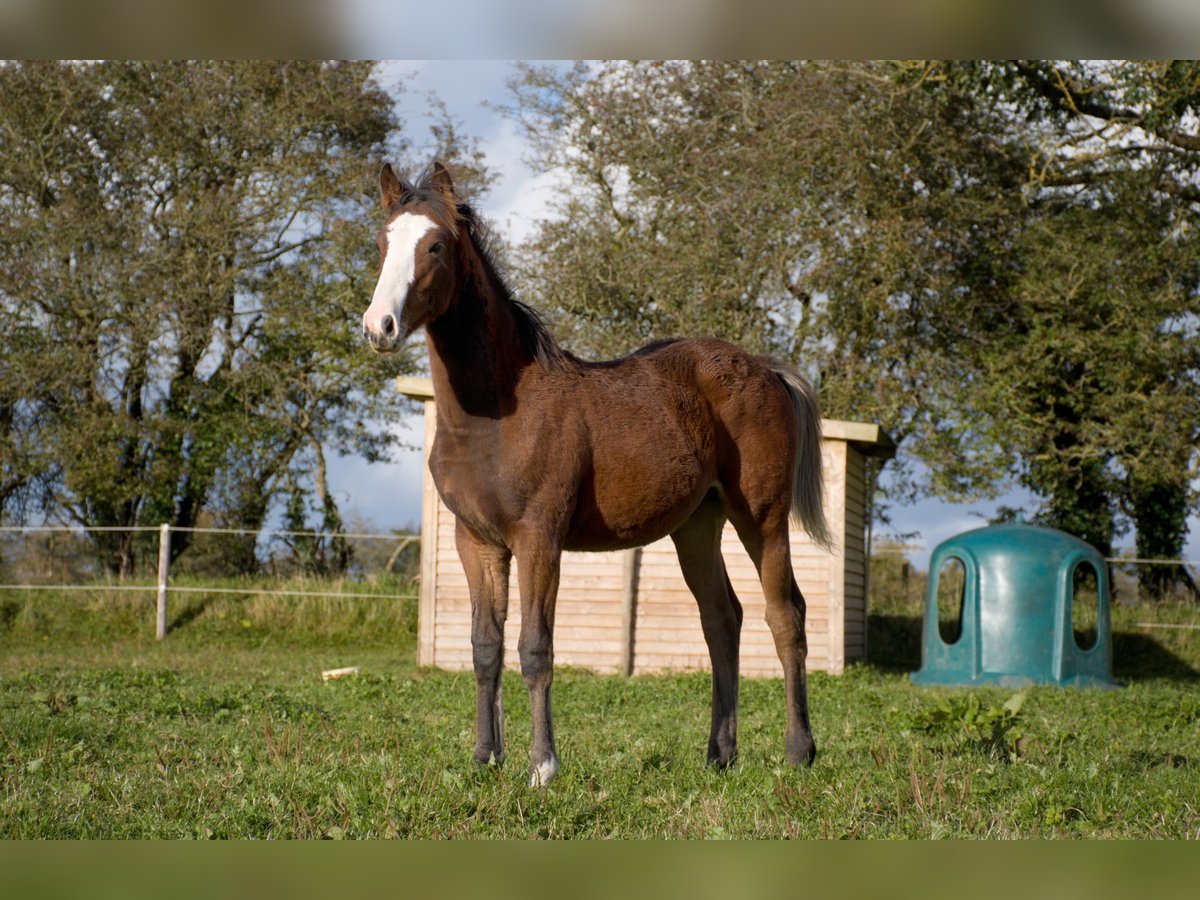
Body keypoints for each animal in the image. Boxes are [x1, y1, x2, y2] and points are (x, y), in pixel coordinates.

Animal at [360, 162, 830, 787]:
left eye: (435, 245)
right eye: (382, 242)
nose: (379, 326)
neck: (496, 414)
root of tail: (768, 369)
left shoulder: (538, 539)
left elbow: (535, 648)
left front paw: (542, 767)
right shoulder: (475, 541)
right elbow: (484, 648)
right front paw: (485, 759)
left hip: (763, 519)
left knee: (786, 616)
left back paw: (799, 751)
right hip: (696, 526)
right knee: (721, 618)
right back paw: (719, 754)